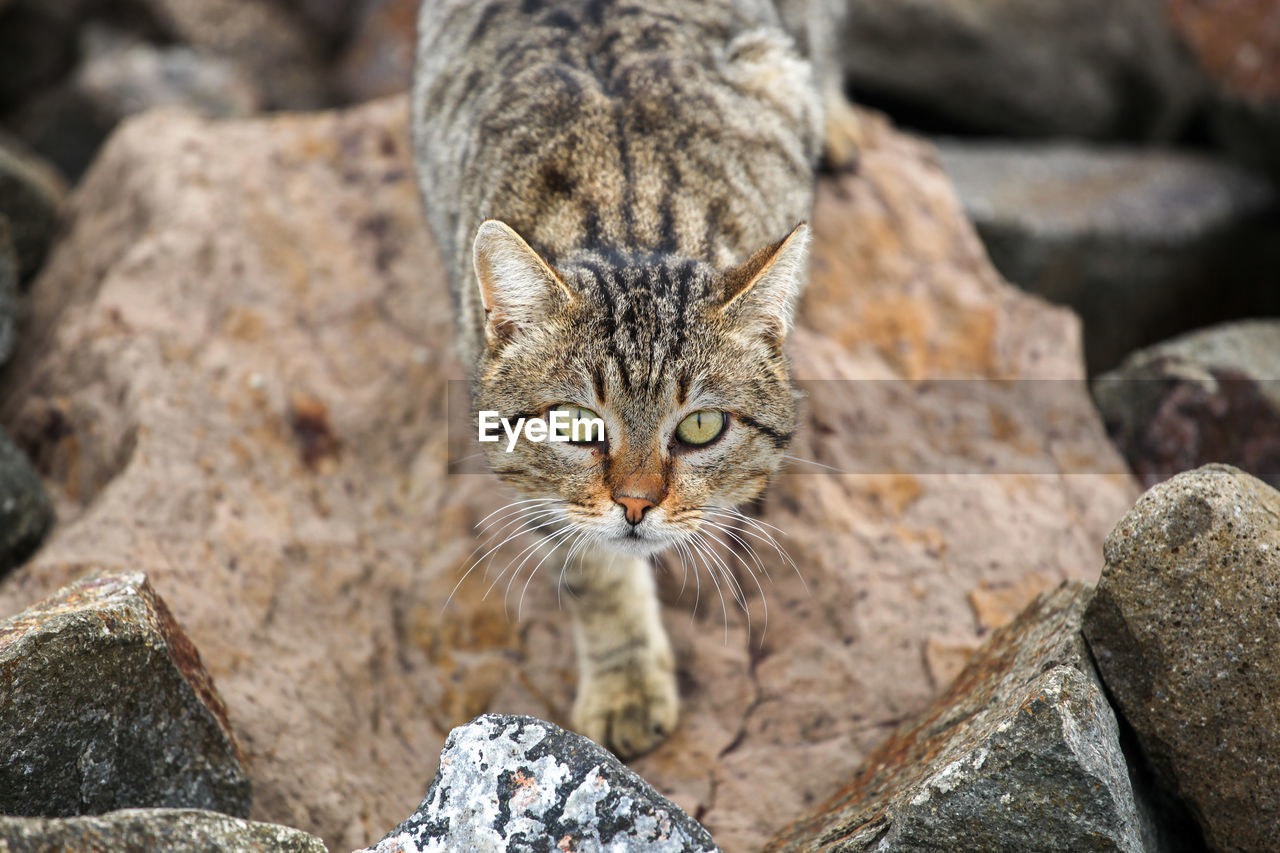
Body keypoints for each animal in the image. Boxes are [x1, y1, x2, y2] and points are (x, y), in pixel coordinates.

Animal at [414, 0, 855, 753]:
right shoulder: (541, 491)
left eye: (702, 426)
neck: (631, 217)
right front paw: (626, 683)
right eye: (575, 425)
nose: (637, 504)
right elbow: (595, 573)